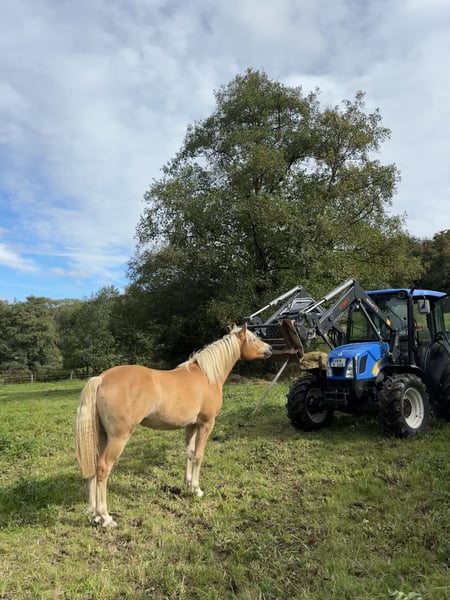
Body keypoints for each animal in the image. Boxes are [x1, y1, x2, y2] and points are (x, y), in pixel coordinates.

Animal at [75, 324, 272, 527]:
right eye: (253, 339)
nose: (270, 349)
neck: (207, 376)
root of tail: (101, 378)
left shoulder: (191, 426)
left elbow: (189, 453)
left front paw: (187, 484)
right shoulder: (206, 424)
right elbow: (199, 455)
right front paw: (197, 489)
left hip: (101, 436)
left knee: (94, 465)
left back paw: (95, 515)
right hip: (118, 438)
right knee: (103, 468)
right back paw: (106, 517)